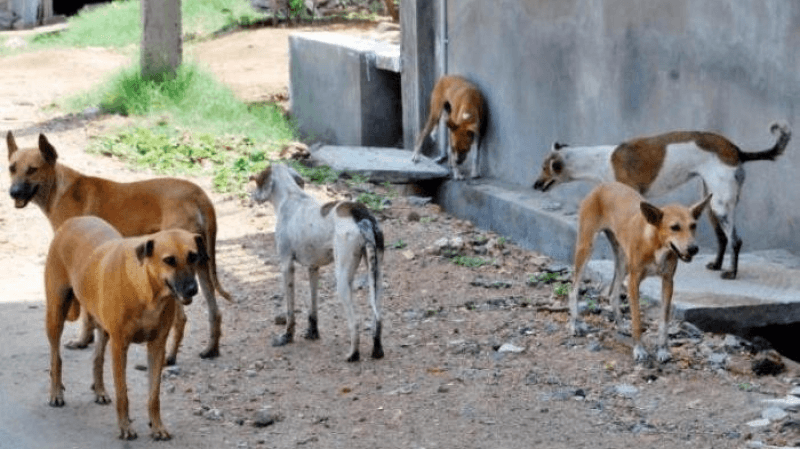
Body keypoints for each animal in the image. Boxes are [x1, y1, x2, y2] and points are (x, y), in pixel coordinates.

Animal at [7, 131, 231, 362]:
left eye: (32, 169)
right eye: (12, 168)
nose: (13, 192)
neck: (59, 188)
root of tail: (199, 194)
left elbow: (85, 314)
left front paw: (82, 340)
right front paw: (88, 339)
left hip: (179, 275)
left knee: (182, 319)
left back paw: (170, 357)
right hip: (200, 265)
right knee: (215, 312)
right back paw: (211, 349)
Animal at [45, 215, 206, 440]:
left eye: (193, 256)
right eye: (169, 260)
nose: (192, 289)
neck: (148, 292)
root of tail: (74, 220)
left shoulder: (157, 346)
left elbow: (154, 394)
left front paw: (157, 426)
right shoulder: (120, 346)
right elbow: (122, 392)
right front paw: (125, 427)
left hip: (102, 326)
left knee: (97, 358)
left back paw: (100, 391)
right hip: (55, 313)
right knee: (56, 357)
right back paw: (56, 393)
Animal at [252, 163, 386, 362]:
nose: (251, 195)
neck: (290, 197)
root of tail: (360, 214)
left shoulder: (286, 266)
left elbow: (290, 310)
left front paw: (287, 336)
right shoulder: (313, 268)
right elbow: (313, 306)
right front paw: (312, 333)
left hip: (343, 281)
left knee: (355, 323)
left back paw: (353, 354)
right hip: (376, 277)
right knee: (378, 318)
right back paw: (377, 350)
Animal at [536, 121, 792, 278]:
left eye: (544, 169)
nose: (535, 185)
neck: (600, 160)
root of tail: (737, 150)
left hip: (721, 206)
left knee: (735, 240)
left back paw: (731, 272)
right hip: (710, 203)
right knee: (722, 238)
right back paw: (717, 265)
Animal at [568, 181, 712, 360]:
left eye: (693, 226)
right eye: (675, 227)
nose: (693, 249)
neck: (656, 245)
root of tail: (603, 185)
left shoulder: (668, 281)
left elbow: (664, 320)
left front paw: (662, 349)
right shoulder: (633, 280)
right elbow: (637, 318)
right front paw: (639, 349)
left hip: (622, 261)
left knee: (613, 295)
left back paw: (621, 325)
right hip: (586, 248)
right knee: (573, 290)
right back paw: (575, 324)